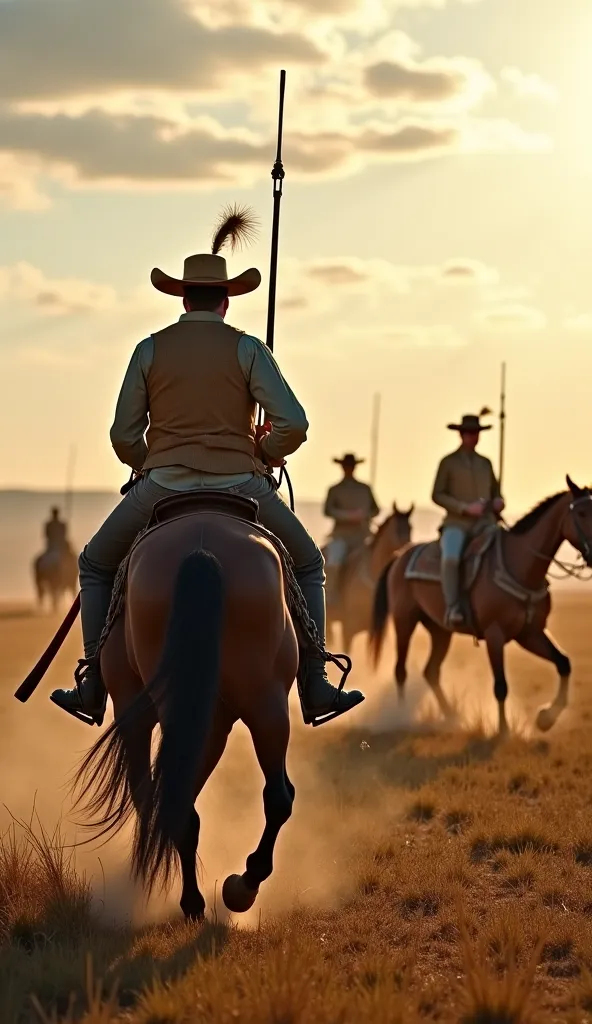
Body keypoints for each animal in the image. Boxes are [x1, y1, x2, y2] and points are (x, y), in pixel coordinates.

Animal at [70, 503, 297, 921]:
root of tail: (201, 549)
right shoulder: (213, 723)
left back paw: (199, 899)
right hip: (265, 704)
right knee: (276, 796)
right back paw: (237, 889)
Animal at [366, 475, 589, 733]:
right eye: (582, 512)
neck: (519, 566)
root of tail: (400, 556)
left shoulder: (530, 633)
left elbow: (563, 663)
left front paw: (546, 718)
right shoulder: (495, 634)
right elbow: (501, 686)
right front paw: (503, 731)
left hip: (440, 631)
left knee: (431, 671)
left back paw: (451, 716)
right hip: (404, 621)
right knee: (400, 670)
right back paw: (401, 717)